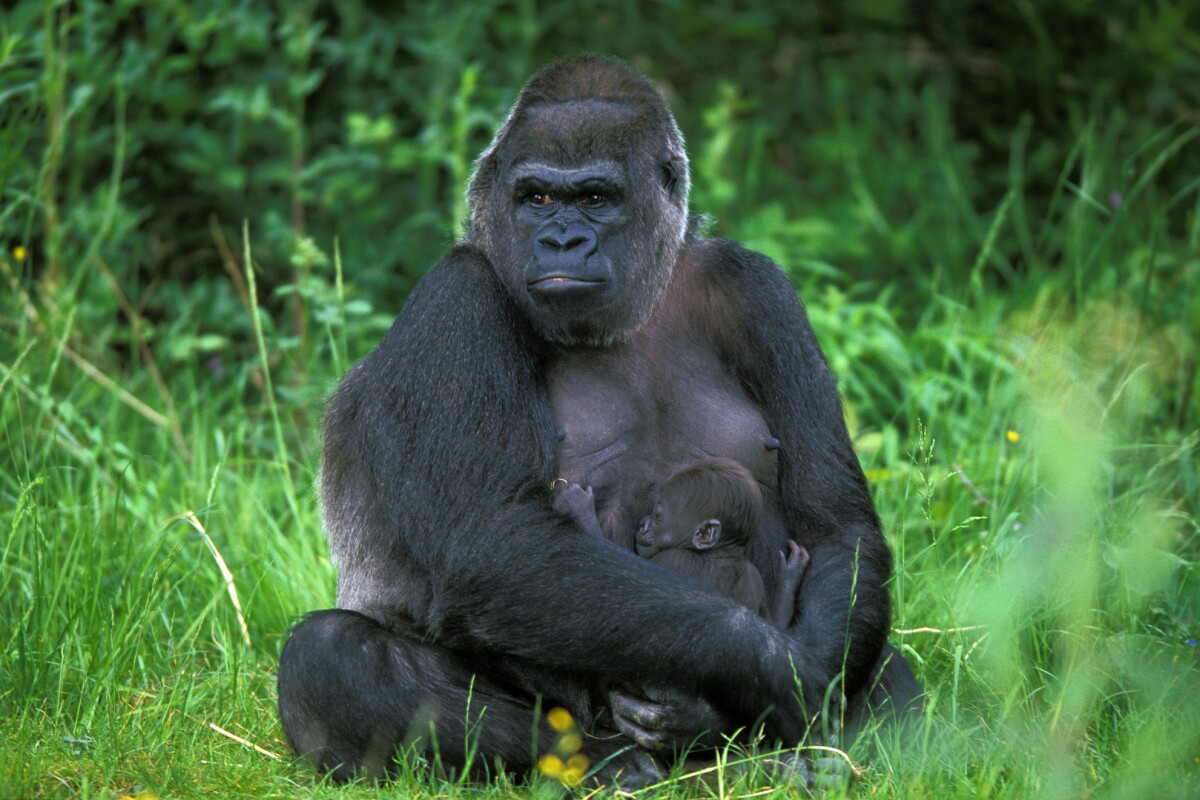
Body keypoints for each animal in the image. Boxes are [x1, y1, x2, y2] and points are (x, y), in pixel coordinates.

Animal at [556, 460, 811, 628]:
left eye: (658, 515)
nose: (642, 524)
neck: (721, 552)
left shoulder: (673, 559)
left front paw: (581, 510)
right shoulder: (754, 575)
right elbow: (776, 626)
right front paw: (790, 578)